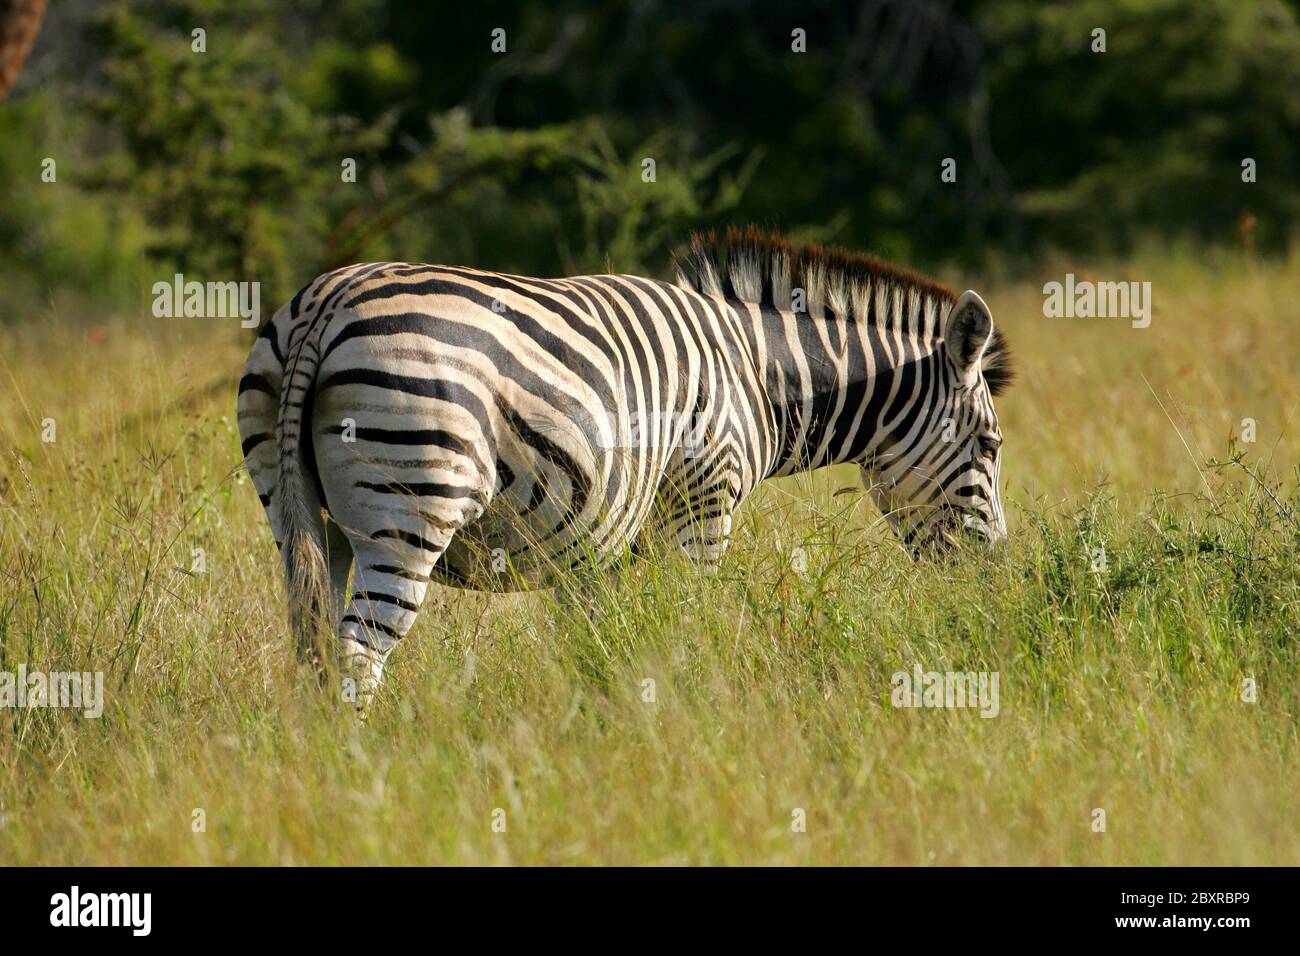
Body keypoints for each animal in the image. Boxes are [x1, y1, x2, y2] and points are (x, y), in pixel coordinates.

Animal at [237, 226, 1013, 705]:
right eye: (990, 447)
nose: (993, 580)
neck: (756, 373)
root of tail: (326, 302)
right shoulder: (704, 501)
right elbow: (686, 626)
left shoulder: (595, 543)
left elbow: (602, 648)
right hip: (409, 510)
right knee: (357, 653)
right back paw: (367, 769)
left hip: (301, 515)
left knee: (313, 643)